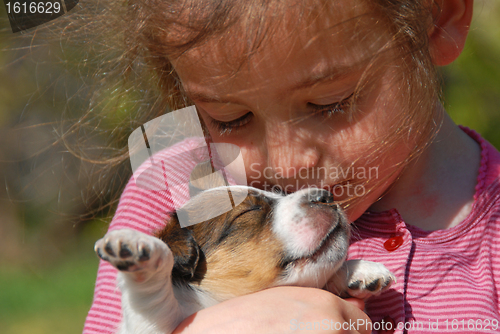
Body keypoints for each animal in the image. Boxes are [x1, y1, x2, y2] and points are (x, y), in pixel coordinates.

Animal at [95, 185, 394, 334]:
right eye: (249, 210)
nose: (326, 196)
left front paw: (360, 271)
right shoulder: (148, 327)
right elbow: (154, 302)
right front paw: (137, 246)